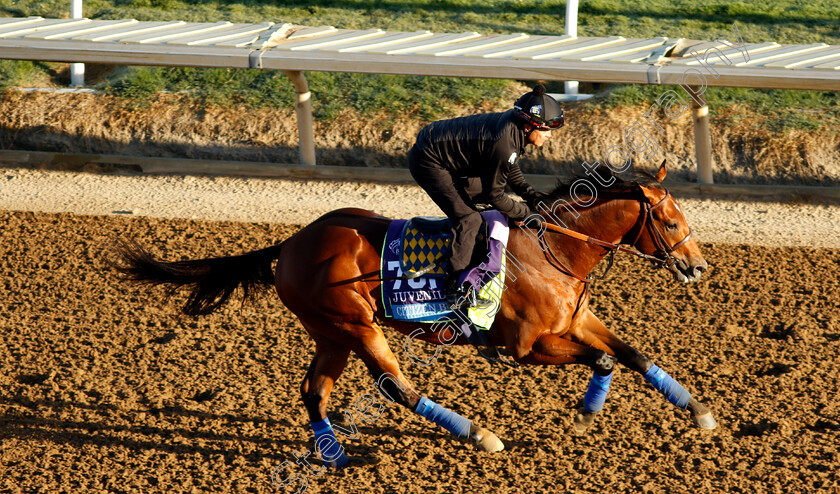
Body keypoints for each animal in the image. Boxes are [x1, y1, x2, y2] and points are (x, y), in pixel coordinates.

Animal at [110, 162, 716, 466]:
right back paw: (479, 435)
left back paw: (334, 455)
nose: (699, 267)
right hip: (356, 325)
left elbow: (633, 354)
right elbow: (605, 362)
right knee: (395, 387)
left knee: (313, 391)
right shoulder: (527, 347)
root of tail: (292, 242)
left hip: (331, 332)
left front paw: (700, 412)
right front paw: (587, 415)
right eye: (669, 219)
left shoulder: (576, 322)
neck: (554, 251)